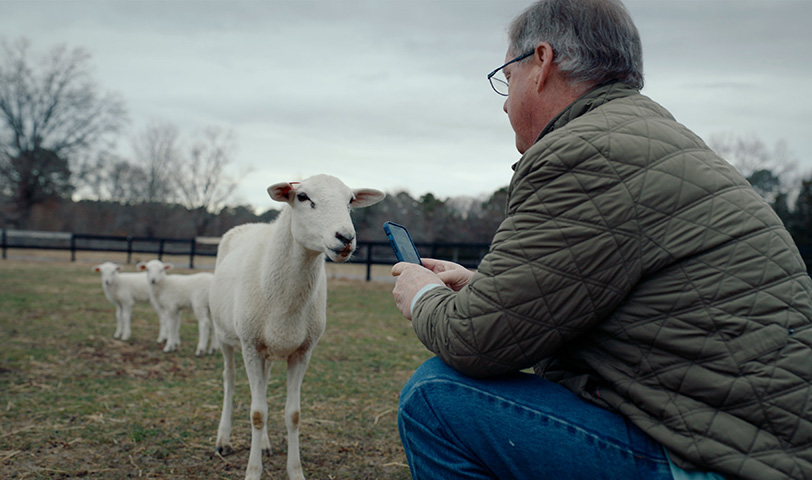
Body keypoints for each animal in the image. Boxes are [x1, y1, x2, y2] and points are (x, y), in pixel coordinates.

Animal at [209, 174, 384, 480]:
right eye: (302, 197)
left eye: (350, 200)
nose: (346, 238)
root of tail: (251, 226)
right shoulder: (250, 345)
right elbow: (257, 414)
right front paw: (253, 472)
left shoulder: (303, 351)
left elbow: (293, 415)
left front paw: (295, 471)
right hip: (226, 337)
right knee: (229, 381)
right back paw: (223, 439)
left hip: (267, 349)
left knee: (263, 385)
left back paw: (264, 444)